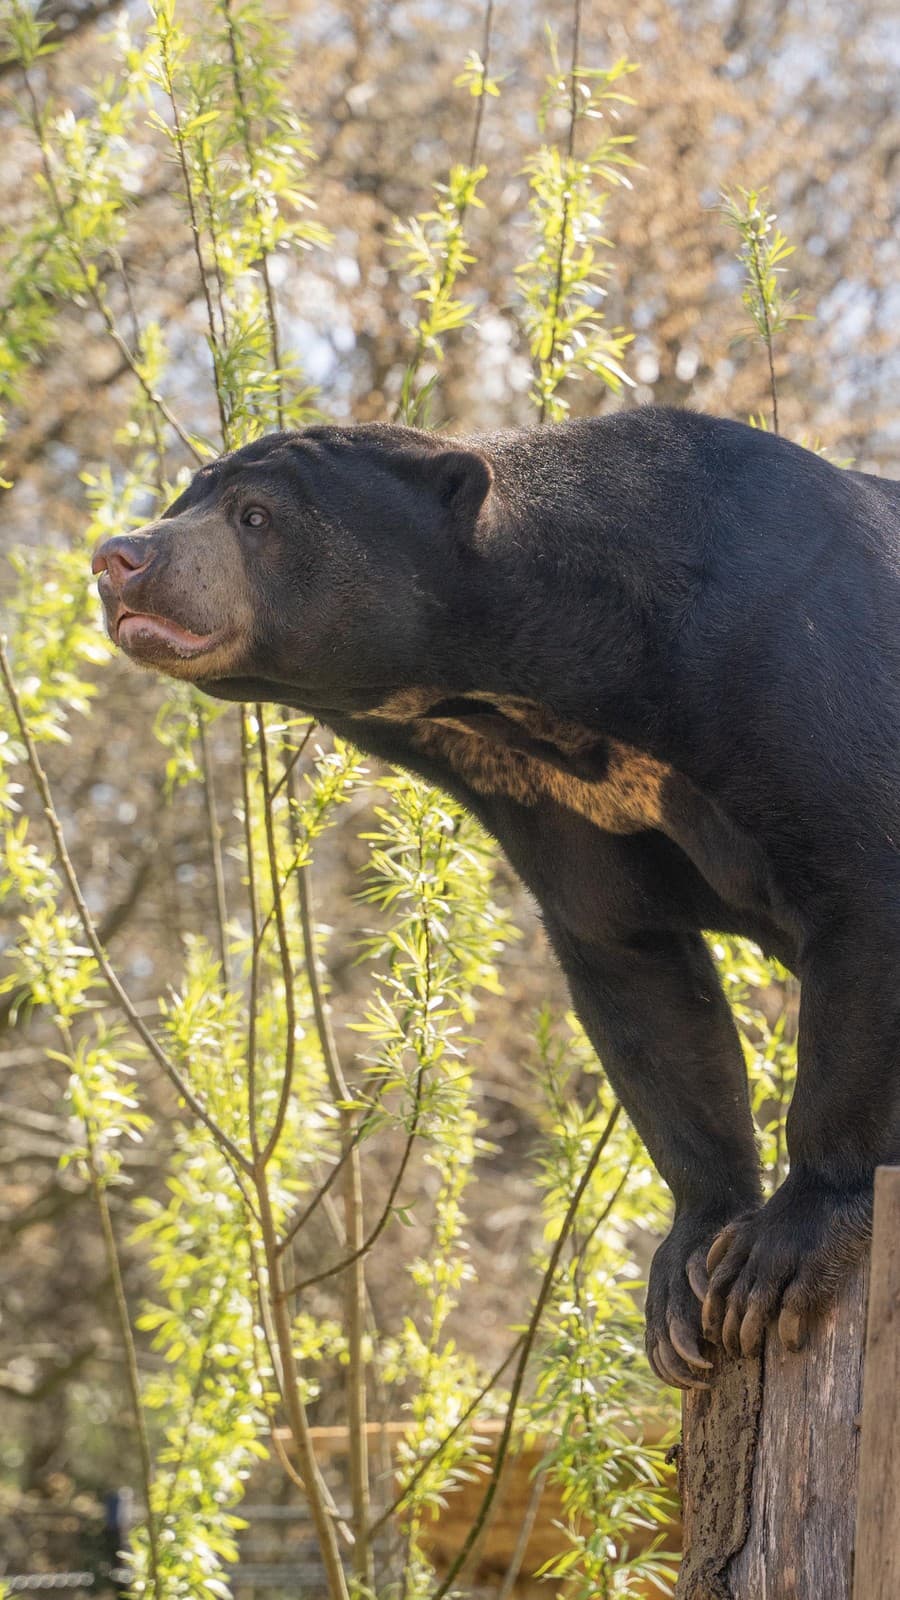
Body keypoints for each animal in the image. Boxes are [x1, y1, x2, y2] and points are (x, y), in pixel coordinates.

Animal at [91, 409, 896, 1388]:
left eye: (254, 516)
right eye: (184, 499)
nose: (119, 556)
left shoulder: (802, 677)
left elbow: (861, 899)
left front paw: (776, 1259)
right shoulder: (555, 806)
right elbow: (643, 993)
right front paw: (685, 1279)